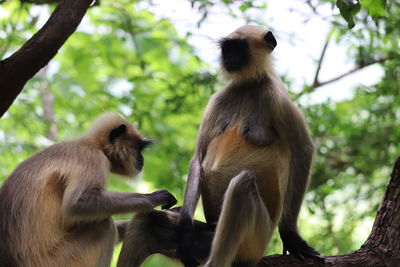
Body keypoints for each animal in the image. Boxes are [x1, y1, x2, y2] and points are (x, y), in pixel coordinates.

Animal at [0, 113, 177, 267]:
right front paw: (154, 198)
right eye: (138, 149)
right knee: (103, 225)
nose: (142, 159)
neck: (92, 144)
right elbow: (77, 204)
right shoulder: (93, 158)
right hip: (56, 261)